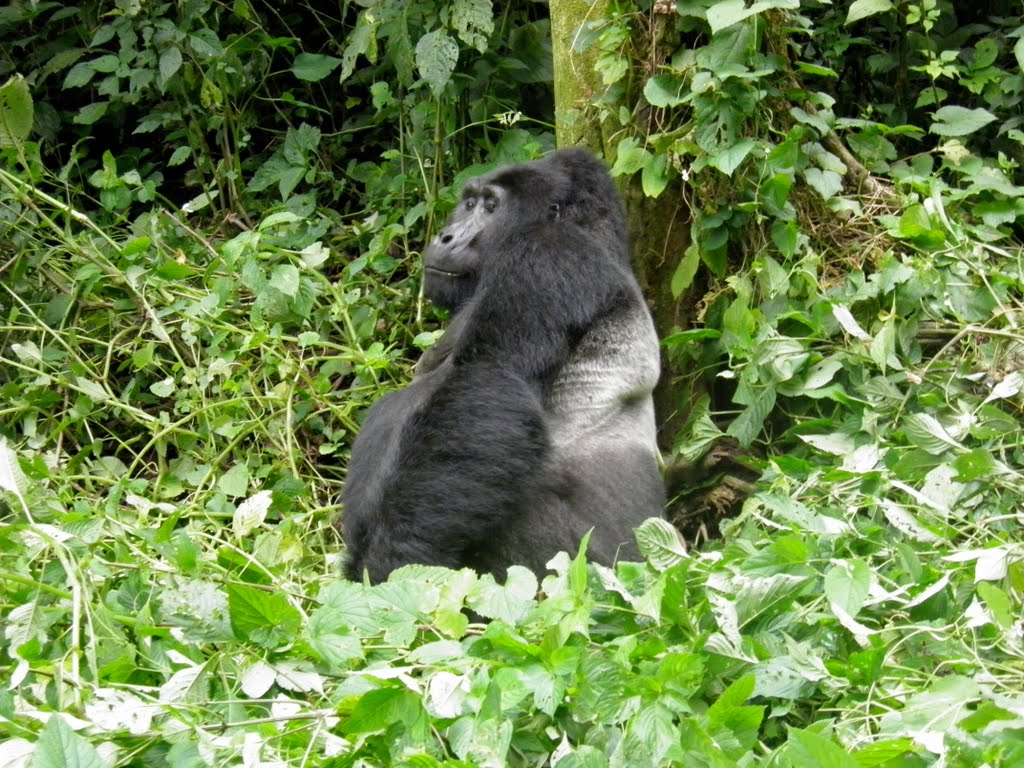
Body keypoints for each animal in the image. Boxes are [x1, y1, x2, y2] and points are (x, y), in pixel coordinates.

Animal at [344, 148, 663, 581]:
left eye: (492, 207)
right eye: (469, 203)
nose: (446, 236)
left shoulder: (546, 255)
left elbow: (488, 378)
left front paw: (391, 566)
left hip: (601, 571)